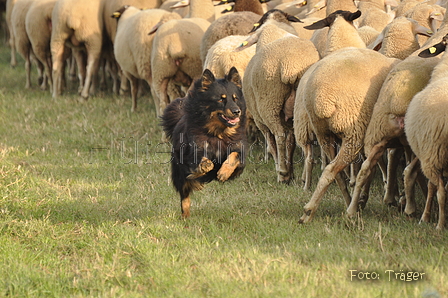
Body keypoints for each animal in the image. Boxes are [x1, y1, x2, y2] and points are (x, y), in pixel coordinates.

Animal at [161, 67, 247, 217]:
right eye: (221, 99)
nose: (237, 111)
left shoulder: (240, 152)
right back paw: (185, 216)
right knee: (185, 197)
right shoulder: (194, 150)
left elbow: (234, 156)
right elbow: (199, 163)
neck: (218, 134)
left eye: (235, 98)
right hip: (179, 174)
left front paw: (223, 172)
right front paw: (204, 166)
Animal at [240, 9, 320, 183]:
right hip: (300, 111)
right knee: (296, 140)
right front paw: (291, 172)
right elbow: (291, 142)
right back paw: (298, 176)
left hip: (269, 105)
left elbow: (271, 144)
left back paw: (282, 172)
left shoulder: (259, 119)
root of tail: (289, 66)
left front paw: (283, 171)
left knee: (279, 136)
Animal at [298, 47, 400, 224]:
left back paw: (346, 202)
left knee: (335, 173)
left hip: (323, 134)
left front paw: (363, 199)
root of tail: (322, 100)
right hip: (353, 132)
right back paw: (312, 211)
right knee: (332, 169)